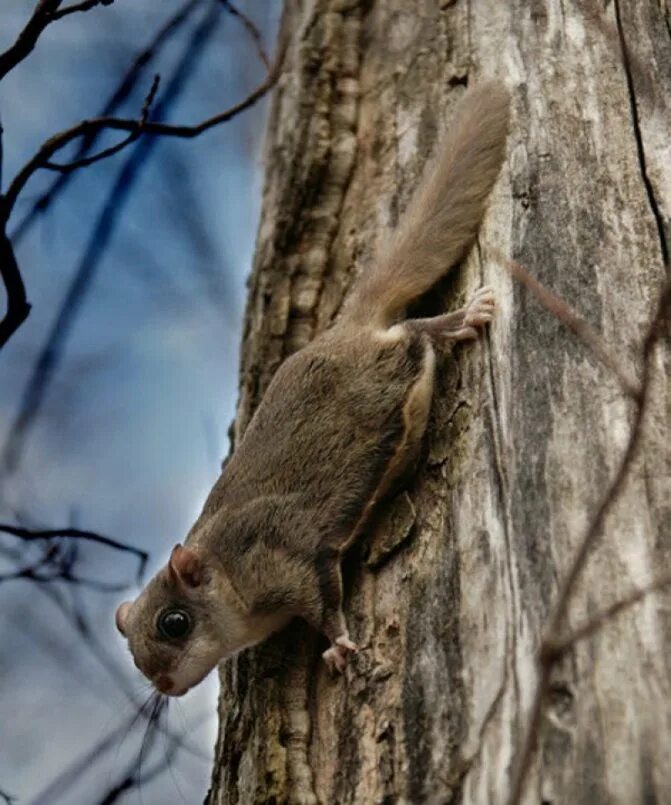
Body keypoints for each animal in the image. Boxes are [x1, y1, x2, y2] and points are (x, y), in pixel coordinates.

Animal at [117, 83, 516, 696]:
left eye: (174, 622)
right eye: (134, 652)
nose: (162, 685)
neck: (228, 570)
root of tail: (346, 329)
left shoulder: (292, 561)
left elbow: (325, 603)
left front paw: (340, 646)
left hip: (384, 378)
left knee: (411, 335)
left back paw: (460, 319)